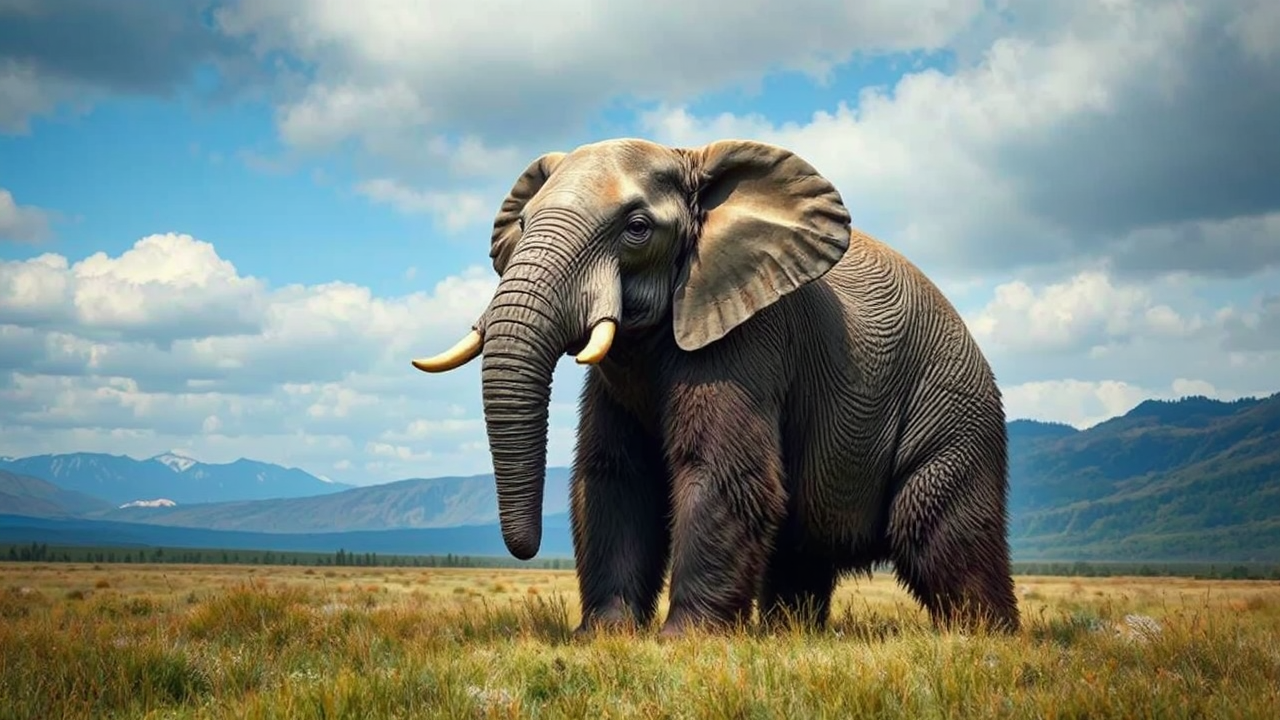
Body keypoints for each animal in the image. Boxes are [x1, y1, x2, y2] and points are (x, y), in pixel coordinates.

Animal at [411, 137, 1020, 638]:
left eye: (637, 228)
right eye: (522, 225)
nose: (525, 549)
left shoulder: (747, 335)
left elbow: (718, 470)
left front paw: (684, 641)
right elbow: (616, 477)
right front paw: (603, 637)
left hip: (952, 405)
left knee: (940, 534)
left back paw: (983, 638)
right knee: (801, 549)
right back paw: (789, 637)